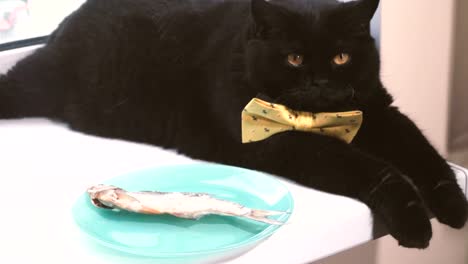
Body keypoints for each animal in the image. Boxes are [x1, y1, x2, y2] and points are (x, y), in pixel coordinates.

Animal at [0, 0, 468, 249]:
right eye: (294, 58)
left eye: (340, 57)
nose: (320, 82)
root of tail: (64, 26)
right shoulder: (281, 143)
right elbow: (374, 168)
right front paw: (413, 221)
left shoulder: (380, 113)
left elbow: (424, 155)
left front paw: (453, 205)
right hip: (38, 82)